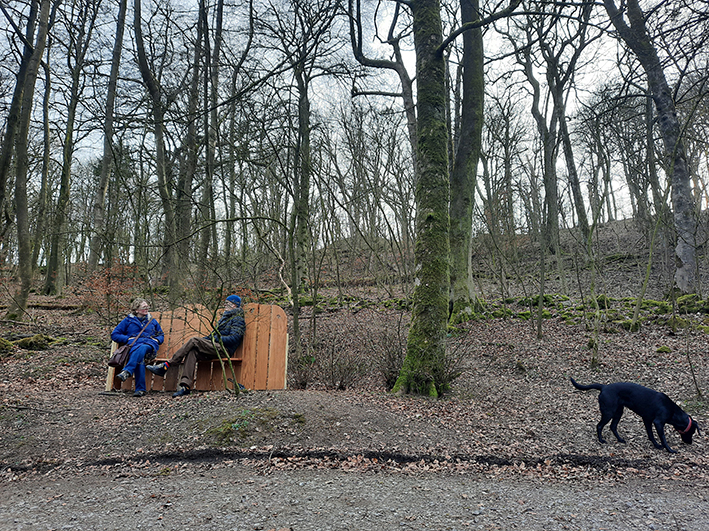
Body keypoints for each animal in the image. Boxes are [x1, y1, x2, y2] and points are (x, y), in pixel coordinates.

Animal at [568, 378, 696, 454]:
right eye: (692, 432)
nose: (690, 443)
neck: (671, 409)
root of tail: (604, 387)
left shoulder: (647, 419)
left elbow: (650, 434)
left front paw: (656, 445)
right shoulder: (658, 422)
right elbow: (663, 438)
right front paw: (669, 449)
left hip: (618, 412)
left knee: (613, 427)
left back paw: (620, 439)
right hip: (609, 412)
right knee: (599, 426)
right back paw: (601, 440)